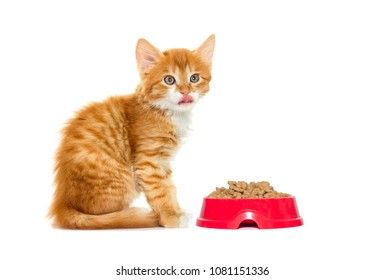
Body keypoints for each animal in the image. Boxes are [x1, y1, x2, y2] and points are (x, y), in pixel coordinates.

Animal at [48, 35, 214, 229]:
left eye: (194, 78)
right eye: (169, 80)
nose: (185, 91)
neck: (166, 111)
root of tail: (63, 204)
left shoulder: (163, 161)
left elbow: (169, 187)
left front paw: (176, 211)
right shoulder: (149, 159)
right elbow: (161, 190)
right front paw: (171, 217)